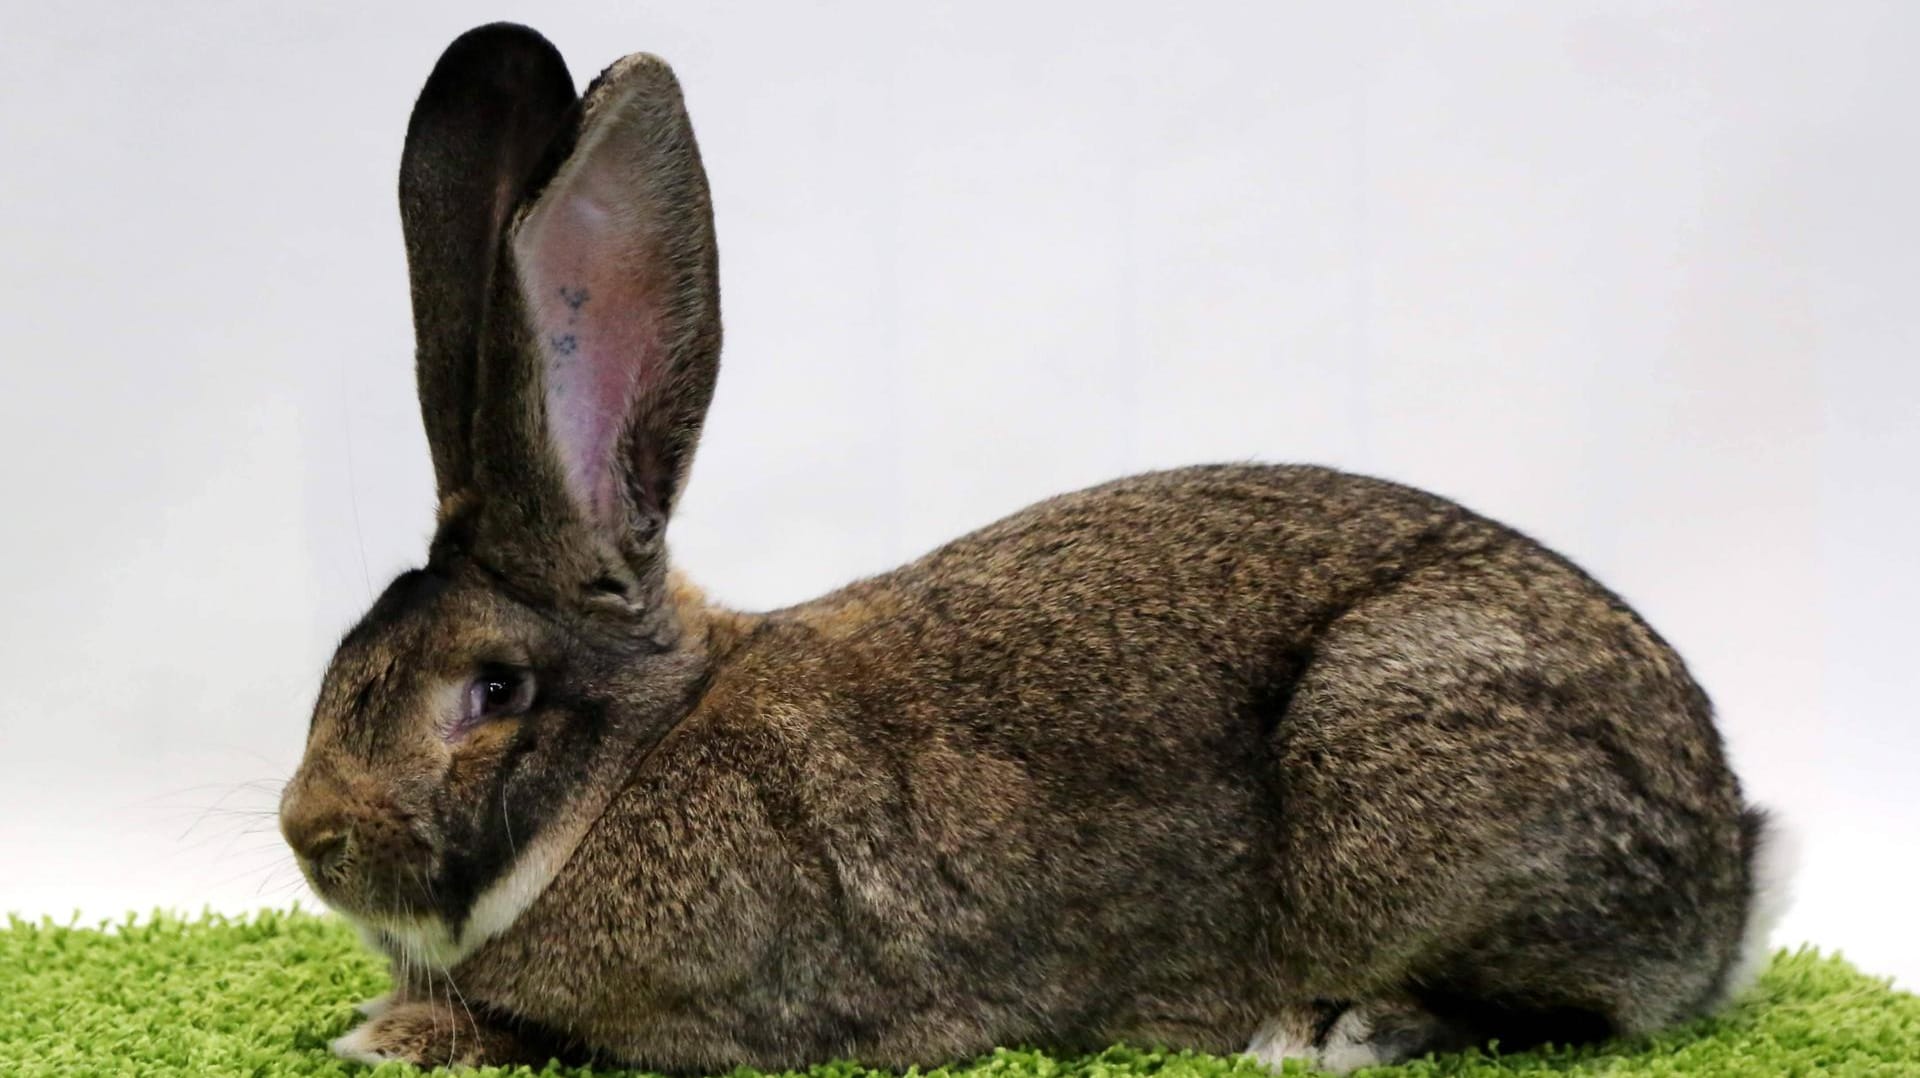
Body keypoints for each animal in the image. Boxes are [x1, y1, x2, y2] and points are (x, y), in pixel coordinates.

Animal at [280, 21, 1781, 1068]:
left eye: (493, 690)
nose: (309, 834)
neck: (636, 757)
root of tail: (1728, 857)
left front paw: (393, 1033)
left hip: (1409, 784)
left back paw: (1328, 1027)